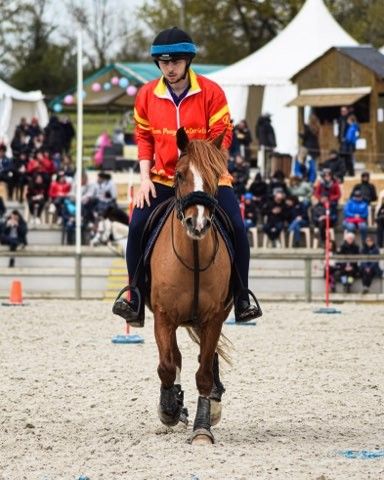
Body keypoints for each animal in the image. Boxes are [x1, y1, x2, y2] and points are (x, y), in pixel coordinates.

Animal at [151, 128, 232, 446]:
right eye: (180, 174)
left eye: (215, 175)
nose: (197, 223)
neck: (193, 257)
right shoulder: (163, 317)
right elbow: (167, 366)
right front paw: (170, 409)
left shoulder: (213, 319)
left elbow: (204, 373)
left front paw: (202, 428)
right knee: (175, 358)